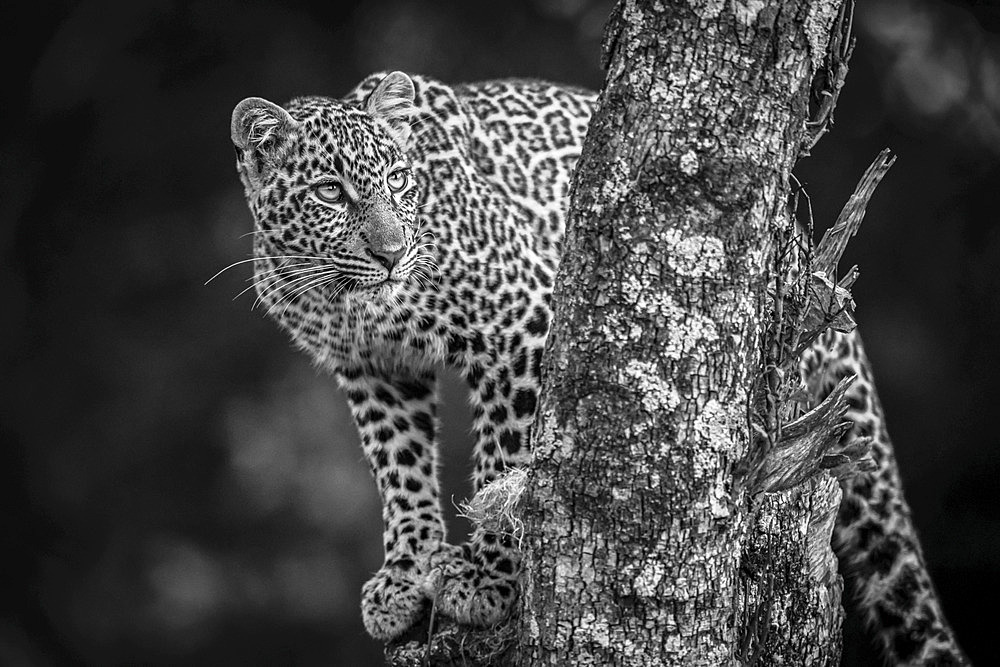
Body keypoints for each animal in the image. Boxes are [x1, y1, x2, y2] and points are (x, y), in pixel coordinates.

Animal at [229, 70, 968, 664]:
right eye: (330, 193)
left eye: (399, 182)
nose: (391, 254)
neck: (345, 299)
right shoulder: (373, 371)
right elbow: (399, 470)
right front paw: (406, 572)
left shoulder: (521, 326)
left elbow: (509, 461)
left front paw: (490, 578)